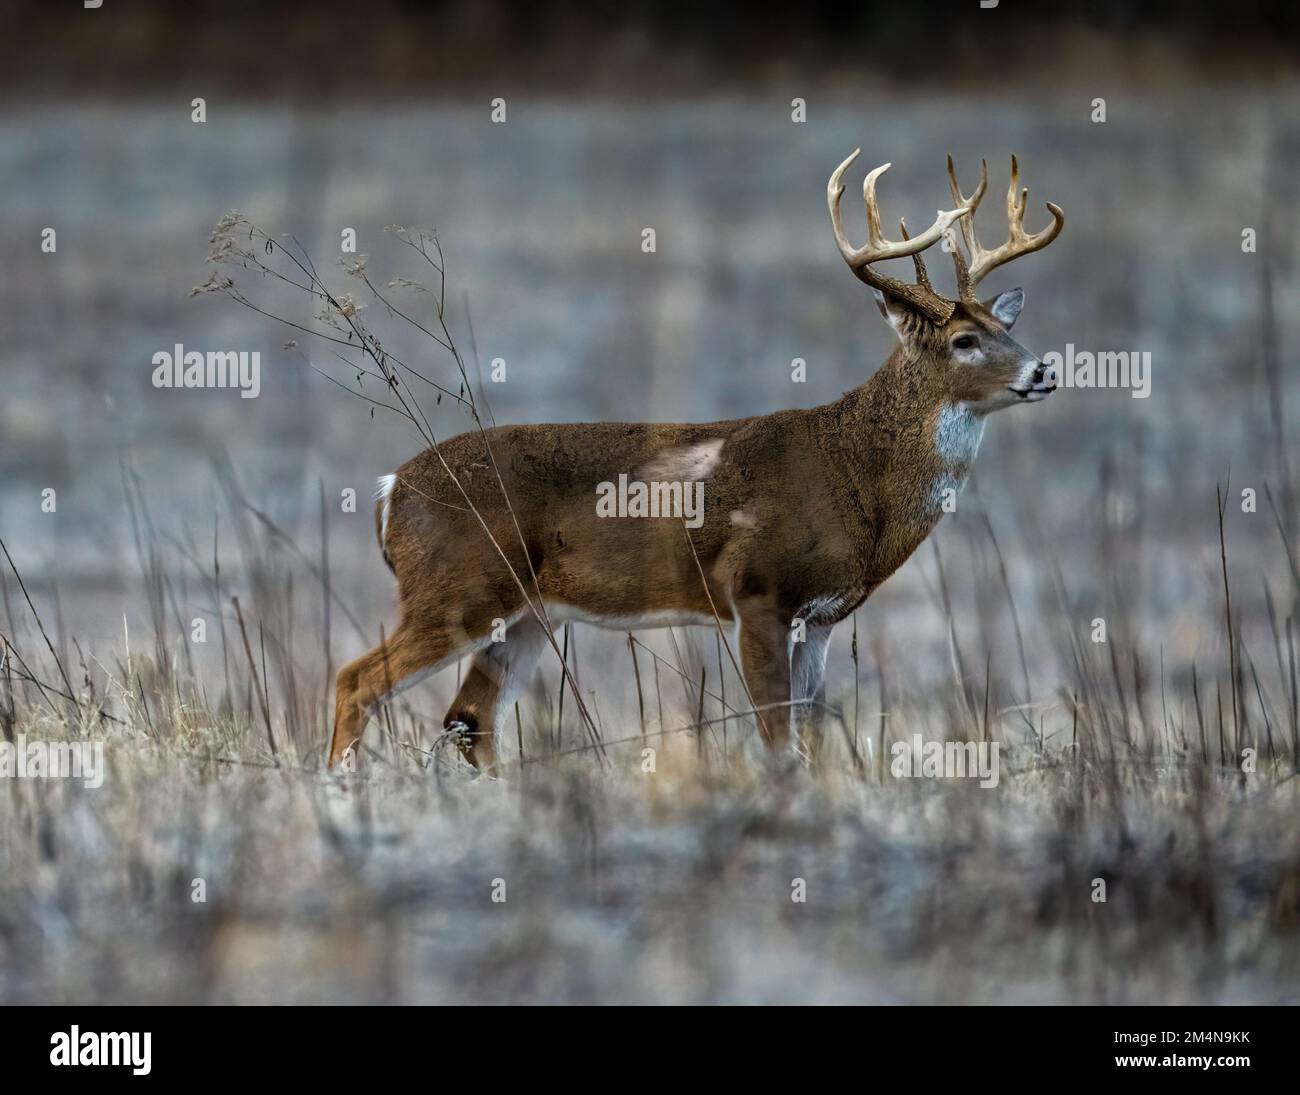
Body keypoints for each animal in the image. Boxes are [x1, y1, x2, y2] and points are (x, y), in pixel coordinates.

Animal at [327, 151, 1066, 769]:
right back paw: (341, 795)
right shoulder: (757, 590)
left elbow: (812, 730)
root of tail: (389, 490)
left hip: (529, 614)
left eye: (1008, 327)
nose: (1043, 369)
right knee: (357, 680)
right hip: (457, 589)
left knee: (469, 717)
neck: (855, 475)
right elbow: (777, 736)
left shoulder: (823, 619)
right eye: (965, 340)